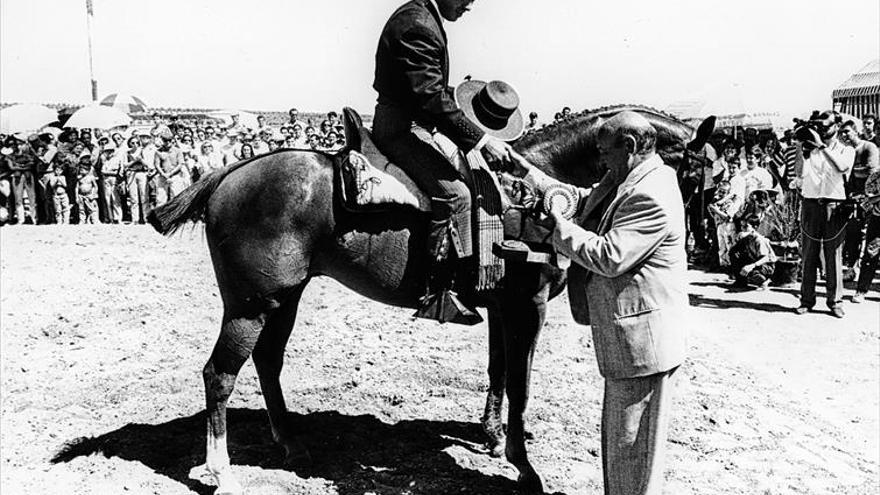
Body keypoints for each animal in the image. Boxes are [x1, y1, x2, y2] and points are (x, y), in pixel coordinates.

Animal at [150, 104, 700, 495]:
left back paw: (290, 444)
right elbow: (520, 385)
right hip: (250, 306)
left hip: (284, 299)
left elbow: (498, 369)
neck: (525, 193)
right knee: (219, 374)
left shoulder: (501, 309)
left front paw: (491, 436)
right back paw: (222, 472)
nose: (686, 229)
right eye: (696, 171)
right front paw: (523, 466)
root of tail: (230, 173)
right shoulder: (529, 307)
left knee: (266, 361)